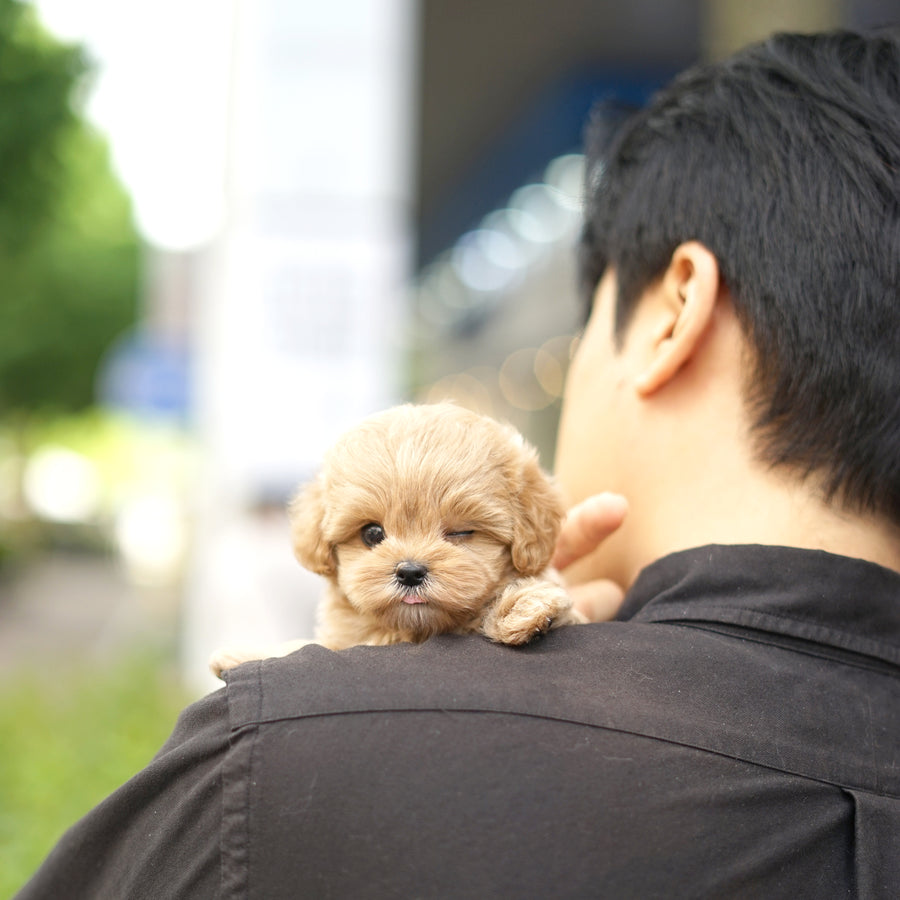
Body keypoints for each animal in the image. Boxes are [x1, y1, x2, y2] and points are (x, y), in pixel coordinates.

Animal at [207, 400, 580, 676]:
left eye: (461, 532)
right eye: (372, 533)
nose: (410, 572)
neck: (411, 631)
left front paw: (525, 609)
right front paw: (244, 655)